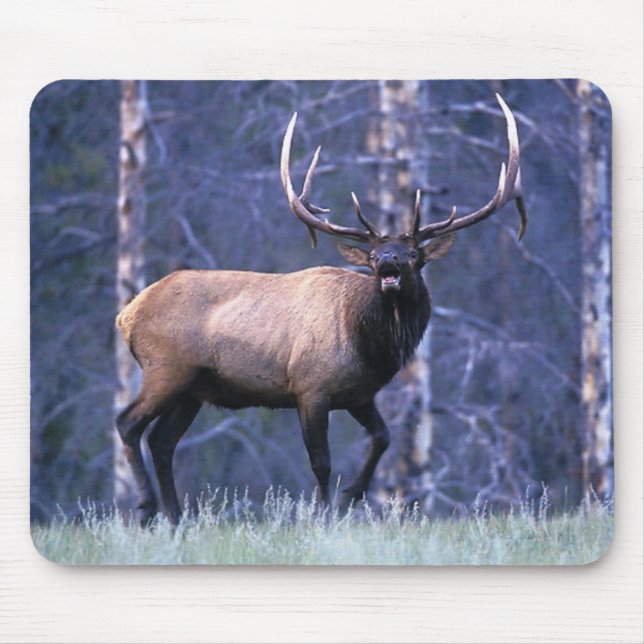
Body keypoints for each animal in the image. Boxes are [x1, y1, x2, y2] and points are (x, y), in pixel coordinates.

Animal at [115, 93, 527, 525]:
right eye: (373, 255)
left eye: (414, 253)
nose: (389, 262)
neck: (370, 346)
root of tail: (126, 315)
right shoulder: (311, 387)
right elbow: (321, 461)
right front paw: (324, 513)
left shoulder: (359, 394)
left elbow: (383, 438)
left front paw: (351, 497)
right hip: (166, 369)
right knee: (128, 423)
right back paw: (146, 507)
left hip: (194, 388)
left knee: (162, 441)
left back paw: (175, 515)